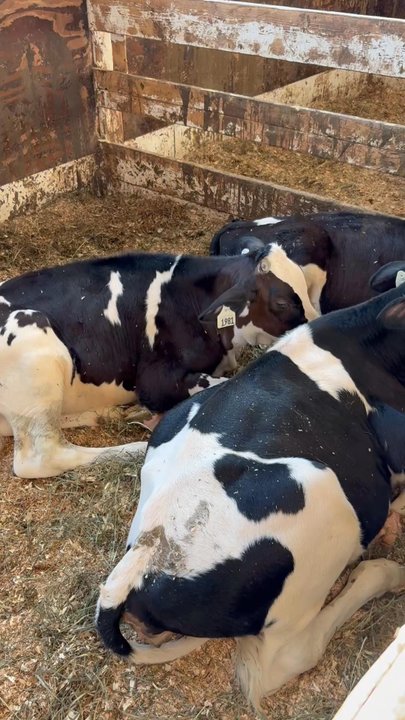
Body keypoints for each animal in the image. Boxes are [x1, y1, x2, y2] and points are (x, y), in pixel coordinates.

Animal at [0, 246, 317, 479]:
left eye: (306, 288)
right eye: (281, 303)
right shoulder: (156, 382)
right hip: (35, 346)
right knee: (42, 456)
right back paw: (136, 448)